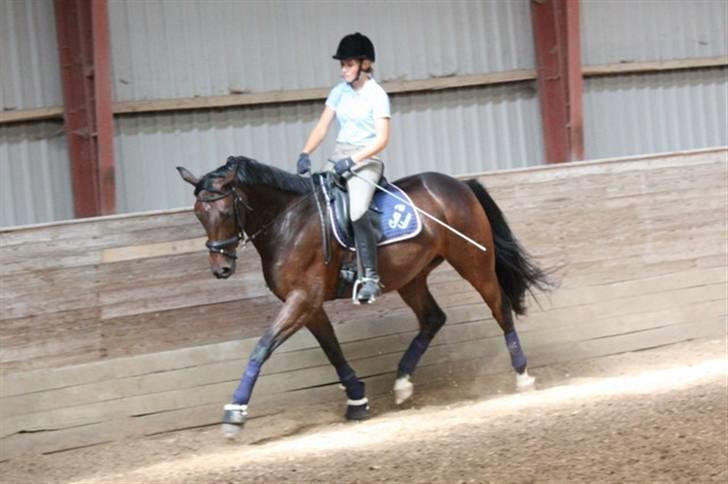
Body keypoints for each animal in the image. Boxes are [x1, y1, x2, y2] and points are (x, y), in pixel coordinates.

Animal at [178, 157, 552, 436]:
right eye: (198, 214)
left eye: (226, 212)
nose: (221, 269)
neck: (289, 222)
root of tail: (459, 184)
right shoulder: (310, 305)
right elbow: (332, 350)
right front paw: (357, 400)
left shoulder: (303, 299)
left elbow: (262, 347)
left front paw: (235, 412)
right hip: (411, 277)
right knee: (433, 318)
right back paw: (402, 384)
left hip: (473, 261)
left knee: (500, 308)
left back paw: (522, 376)